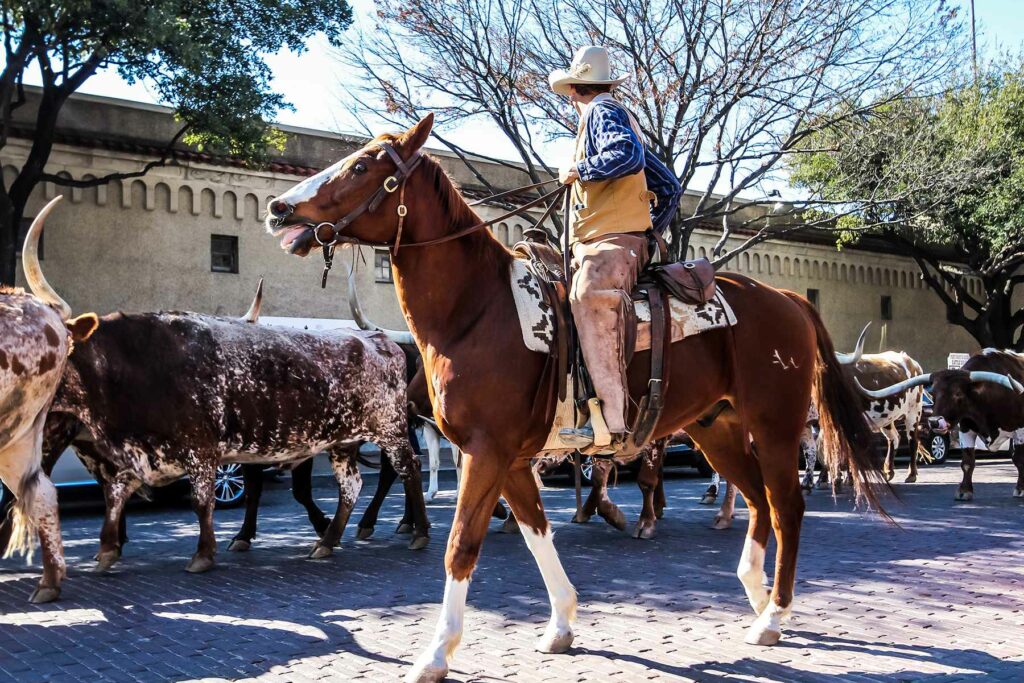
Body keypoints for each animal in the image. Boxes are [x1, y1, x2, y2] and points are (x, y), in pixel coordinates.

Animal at [266, 114, 880, 679]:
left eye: (361, 167)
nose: (278, 208)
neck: (477, 310)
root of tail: (787, 298)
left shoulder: (485, 452)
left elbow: (461, 545)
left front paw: (436, 653)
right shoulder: (511, 460)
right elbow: (537, 534)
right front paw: (561, 623)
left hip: (775, 426)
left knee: (786, 506)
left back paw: (774, 615)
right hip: (719, 429)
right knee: (756, 500)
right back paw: (756, 598)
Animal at [860, 350, 1019, 499]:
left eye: (958, 394)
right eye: (934, 394)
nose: (935, 421)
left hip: (912, 412)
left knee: (912, 441)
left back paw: (911, 475)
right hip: (887, 419)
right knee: (894, 437)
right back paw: (888, 471)